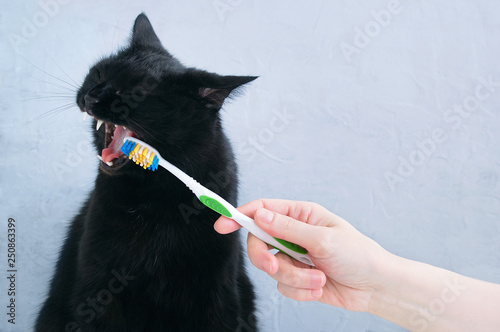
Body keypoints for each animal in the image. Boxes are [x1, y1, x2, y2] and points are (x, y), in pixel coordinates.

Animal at [36, 13, 258, 332]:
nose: (91, 97)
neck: (156, 197)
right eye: (100, 74)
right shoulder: (97, 285)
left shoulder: (217, 290)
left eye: (137, 93)